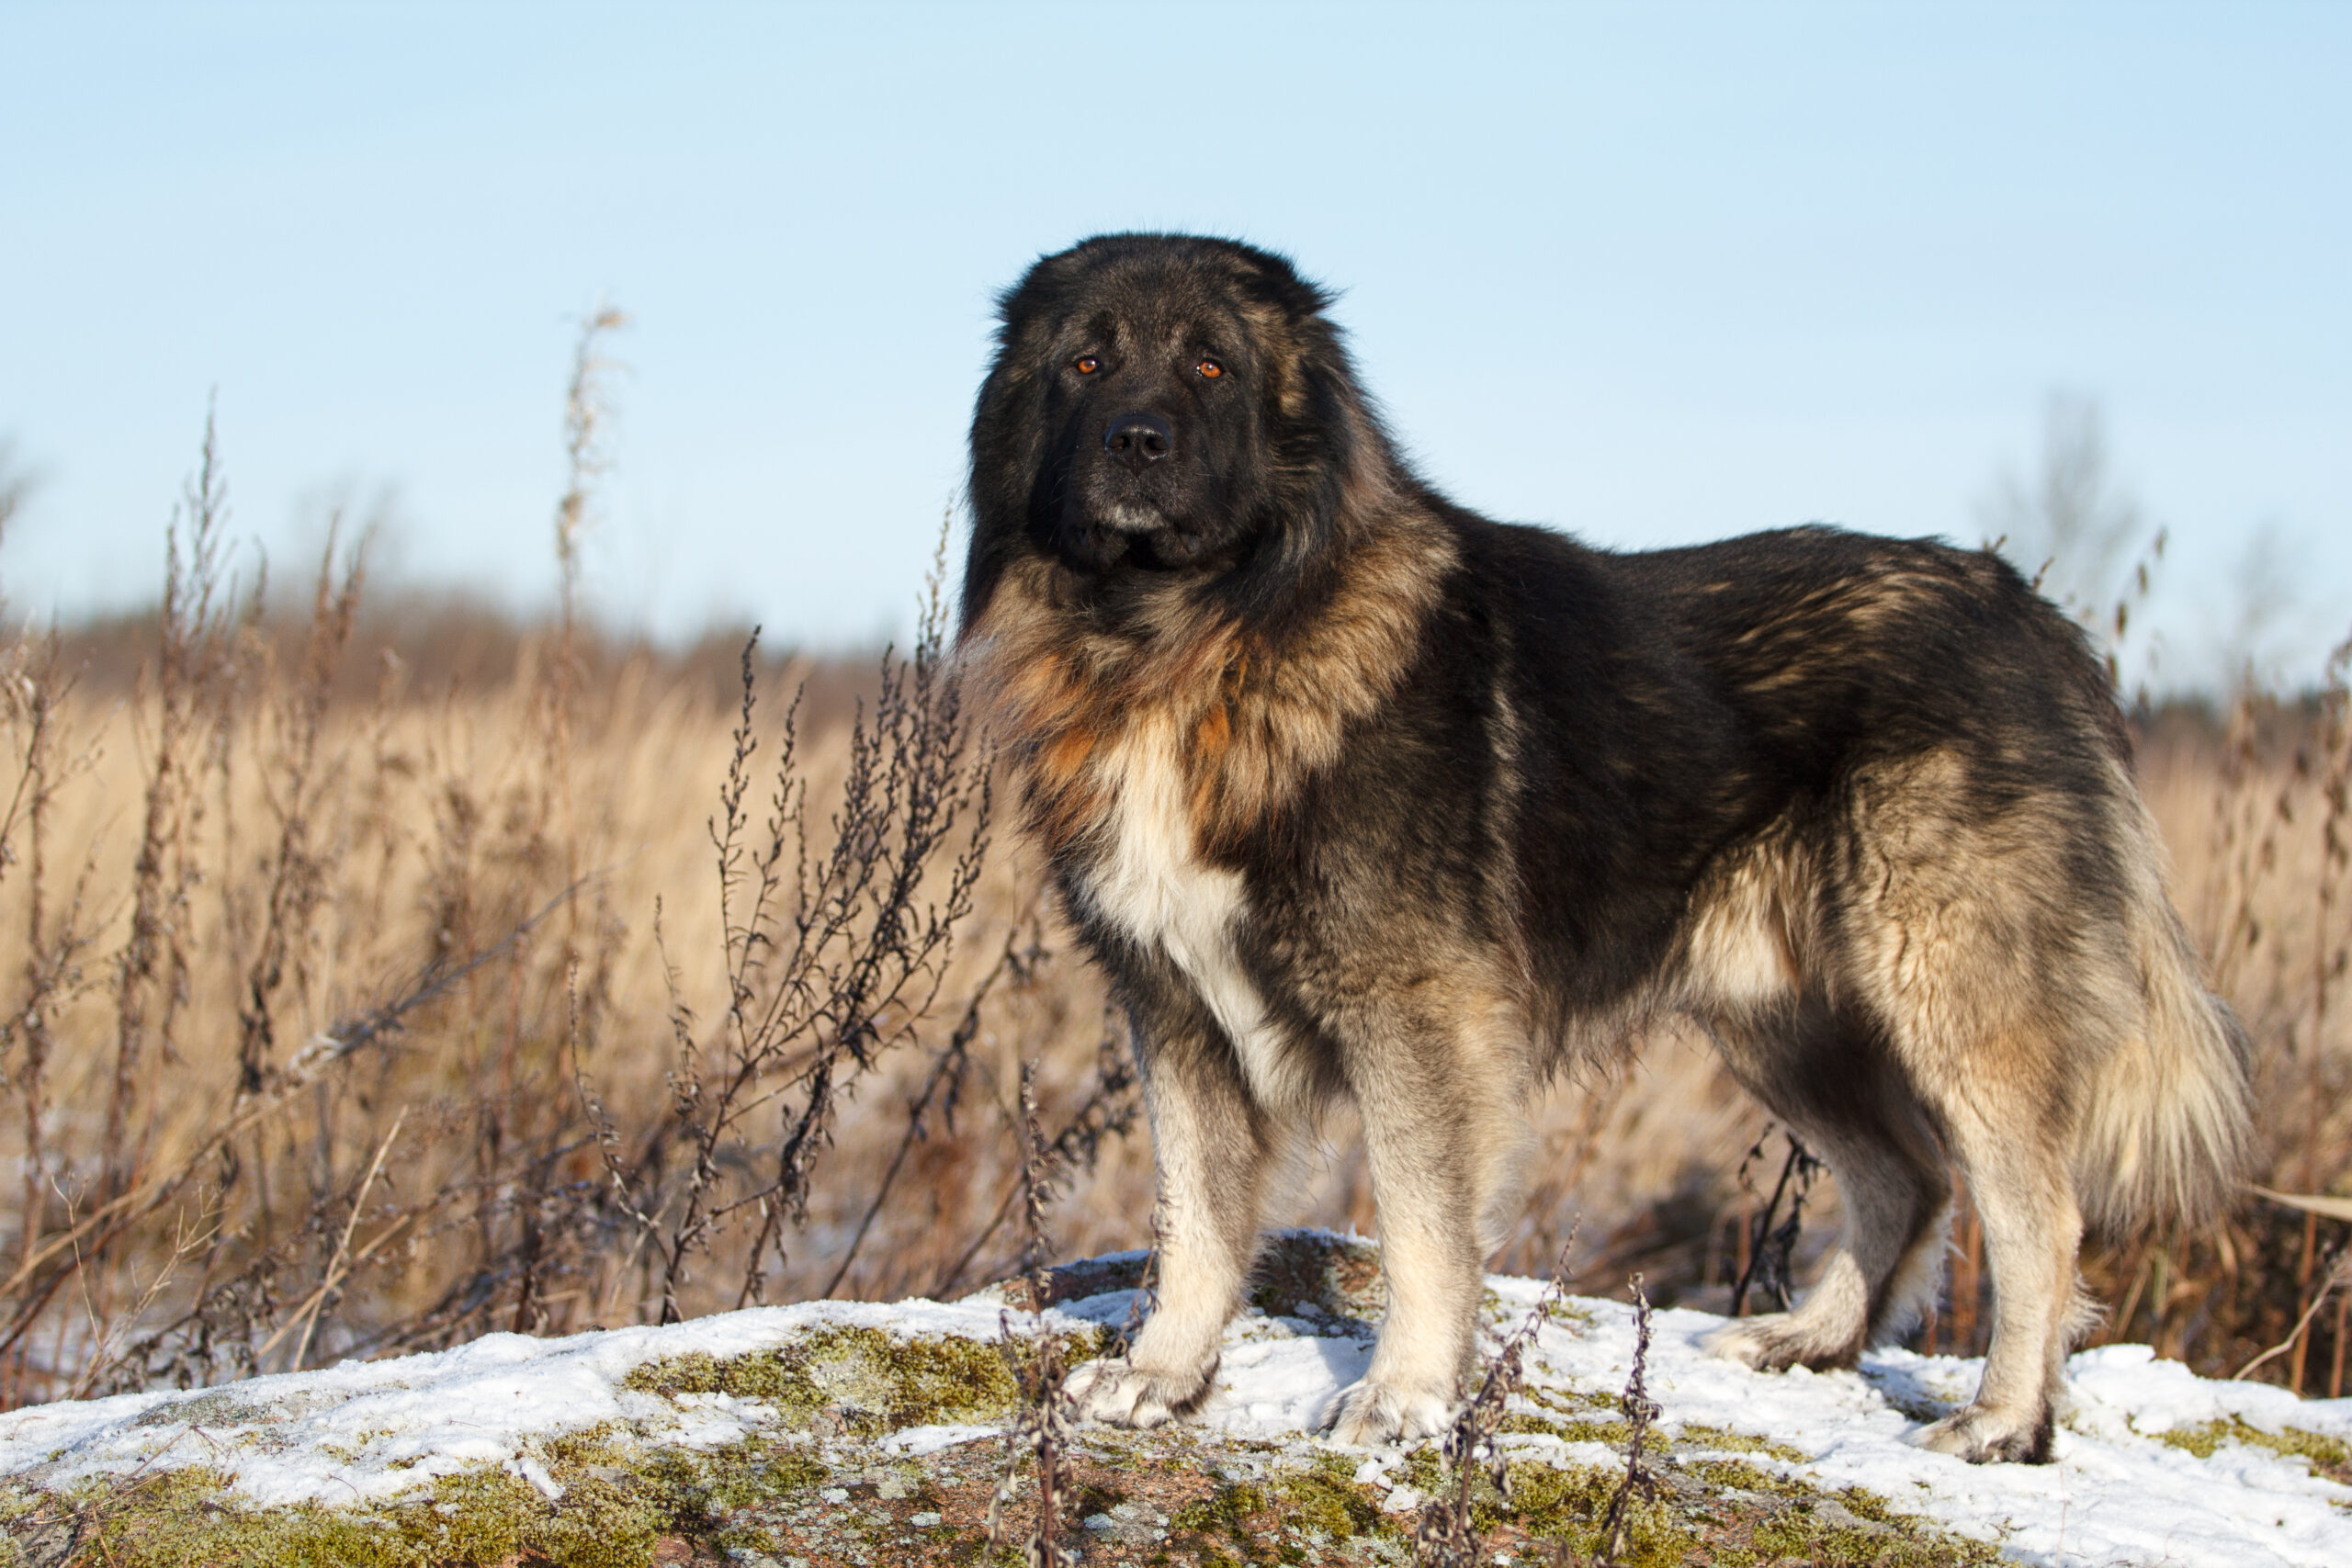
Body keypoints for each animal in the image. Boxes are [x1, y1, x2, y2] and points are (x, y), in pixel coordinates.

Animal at [950, 236, 2239, 1476]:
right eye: (1085, 363)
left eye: (1212, 366)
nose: (1136, 440)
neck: (1188, 641)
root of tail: (2028, 610)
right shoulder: (1177, 1011)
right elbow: (1196, 1220)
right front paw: (1163, 1376)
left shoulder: (1417, 1017)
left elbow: (1419, 1223)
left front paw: (1403, 1397)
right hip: (1783, 1018)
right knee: (1907, 1177)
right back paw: (1810, 1340)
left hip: (1944, 991)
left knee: (2031, 1212)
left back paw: (2003, 1423)